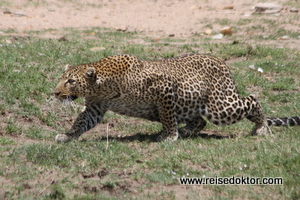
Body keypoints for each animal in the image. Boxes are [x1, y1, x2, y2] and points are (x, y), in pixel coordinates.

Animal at [52, 53, 298, 142]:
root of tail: (222, 62)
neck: (101, 86)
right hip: (189, 105)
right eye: (62, 79)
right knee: (199, 121)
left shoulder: (164, 89)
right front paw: (67, 135)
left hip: (220, 107)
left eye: (70, 81)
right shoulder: (95, 107)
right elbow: (82, 122)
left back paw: (262, 127)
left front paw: (170, 136)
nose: (55, 92)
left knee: (252, 99)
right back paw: (186, 131)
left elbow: (168, 117)